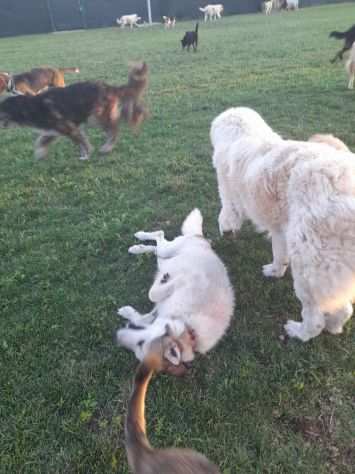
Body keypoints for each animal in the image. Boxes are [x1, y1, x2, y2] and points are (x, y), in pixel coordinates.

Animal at [0, 63, 149, 160]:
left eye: (1, 112)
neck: (28, 107)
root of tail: (108, 87)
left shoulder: (68, 128)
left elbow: (81, 142)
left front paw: (86, 154)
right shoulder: (54, 130)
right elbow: (41, 141)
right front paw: (40, 154)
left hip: (96, 116)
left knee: (114, 129)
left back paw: (107, 147)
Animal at [117, 209, 235, 376]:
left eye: (139, 343)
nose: (120, 337)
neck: (189, 329)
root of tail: (202, 239)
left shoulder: (162, 308)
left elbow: (149, 304)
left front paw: (129, 313)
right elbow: (151, 299)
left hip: (165, 256)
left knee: (158, 245)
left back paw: (140, 248)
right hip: (168, 251)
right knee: (159, 237)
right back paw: (139, 242)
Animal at [211, 108, 355, 340]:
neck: (244, 134)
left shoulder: (228, 194)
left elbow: (226, 214)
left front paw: (226, 230)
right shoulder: (280, 227)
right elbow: (279, 253)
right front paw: (275, 271)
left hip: (309, 268)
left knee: (318, 317)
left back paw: (300, 331)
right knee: (343, 309)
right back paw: (334, 326)